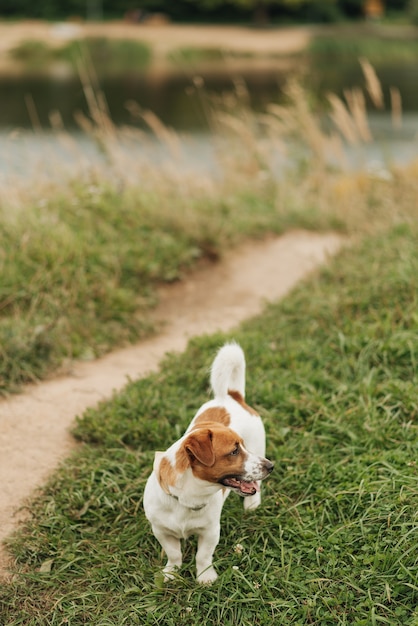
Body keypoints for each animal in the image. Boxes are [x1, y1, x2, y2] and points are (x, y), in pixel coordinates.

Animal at [144, 342, 274, 580]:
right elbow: (174, 553)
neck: (188, 499)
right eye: (234, 451)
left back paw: (252, 504)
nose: (271, 466)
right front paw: (172, 573)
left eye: (240, 447)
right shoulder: (162, 531)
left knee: (256, 486)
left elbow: (203, 556)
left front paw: (205, 577)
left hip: (259, 447)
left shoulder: (211, 531)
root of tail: (230, 397)